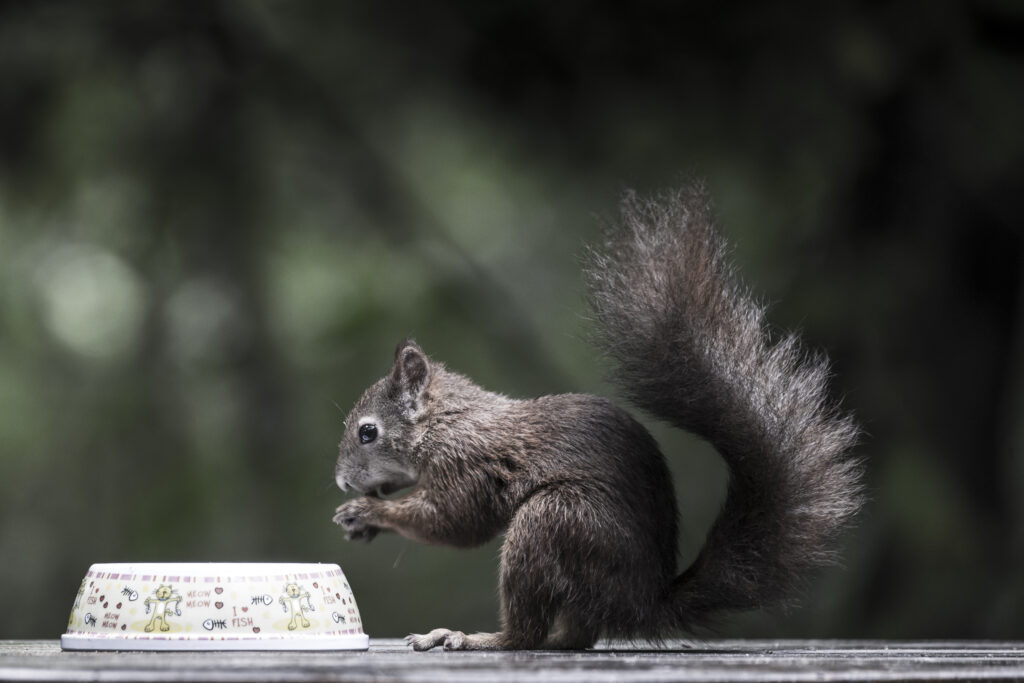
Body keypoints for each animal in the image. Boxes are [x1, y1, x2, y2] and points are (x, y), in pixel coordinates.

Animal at [333, 184, 863, 651]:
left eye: (368, 432)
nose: (340, 482)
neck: (447, 423)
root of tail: (643, 605)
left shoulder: (469, 464)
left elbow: (455, 522)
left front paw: (368, 513)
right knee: (575, 638)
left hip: (553, 522)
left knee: (528, 633)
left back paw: (470, 637)